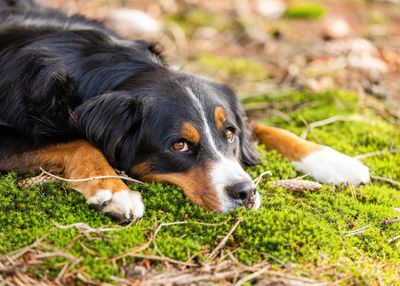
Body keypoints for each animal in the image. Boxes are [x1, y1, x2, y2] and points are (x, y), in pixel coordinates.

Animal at [0, 3, 370, 223]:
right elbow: (81, 144)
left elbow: (261, 125)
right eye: (179, 145)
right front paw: (114, 192)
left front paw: (331, 158)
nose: (245, 193)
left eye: (229, 134)